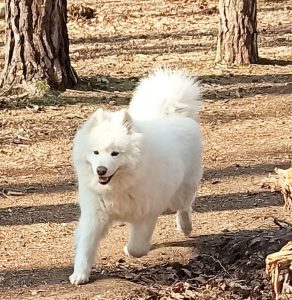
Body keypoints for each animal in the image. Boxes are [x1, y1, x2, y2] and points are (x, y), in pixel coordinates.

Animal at [70, 69, 204, 284]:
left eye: (115, 153)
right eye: (96, 152)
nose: (101, 170)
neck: (119, 186)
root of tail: (172, 113)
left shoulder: (145, 214)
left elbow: (137, 248)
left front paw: (129, 248)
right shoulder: (94, 215)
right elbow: (85, 246)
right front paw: (80, 274)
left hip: (181, 191)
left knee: (184, 207)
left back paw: (185, 227)